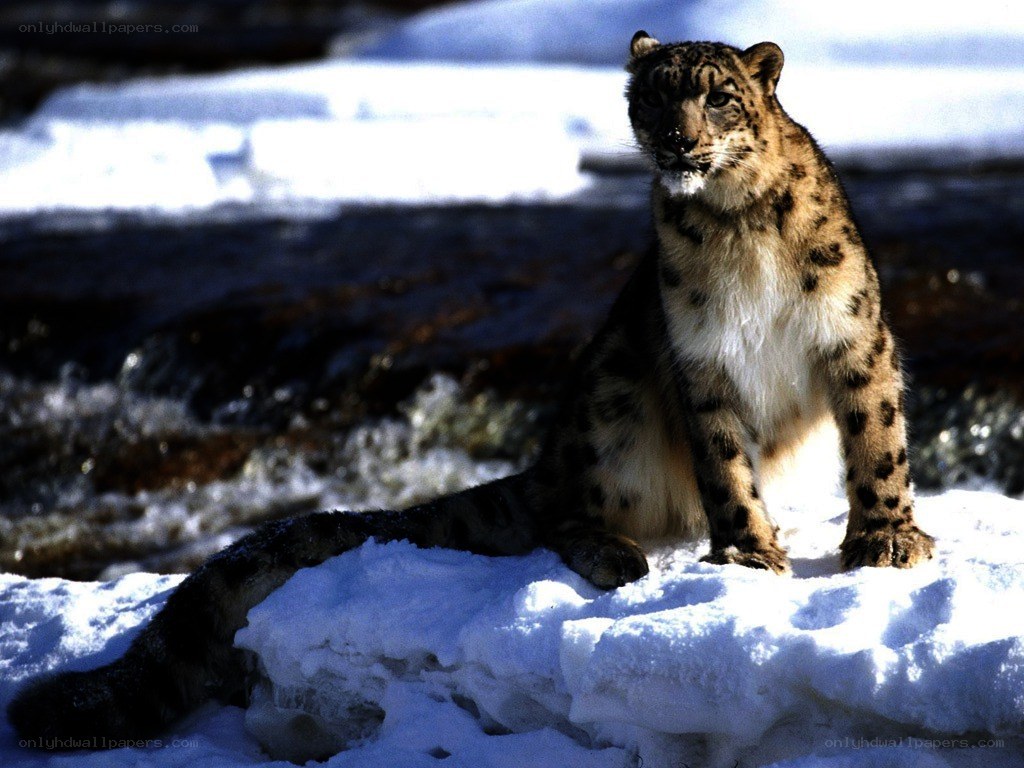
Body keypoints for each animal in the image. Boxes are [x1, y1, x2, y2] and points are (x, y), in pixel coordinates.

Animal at [8, 32, 934, 747]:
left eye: (720, 98)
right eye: (653, 99)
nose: (677, 141)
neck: (737, 226)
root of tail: (550, 459)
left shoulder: (854, 333)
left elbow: (877, 438)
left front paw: (886, 539)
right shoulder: (698, 364)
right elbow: (724, 468)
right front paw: (747, 551)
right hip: (612, 397)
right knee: (565, 513)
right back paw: (615, 550)